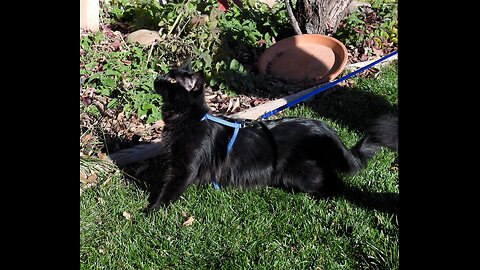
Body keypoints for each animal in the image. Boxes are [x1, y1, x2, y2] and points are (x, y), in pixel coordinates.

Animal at [143, 62, 398, 212]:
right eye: (165, 75)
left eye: (171, 81)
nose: (156, 79)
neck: (187, 119)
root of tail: (322, 126)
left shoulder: (186, 168)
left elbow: (170, 190)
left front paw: (153, 211)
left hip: (300, 173)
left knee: (335, 183)